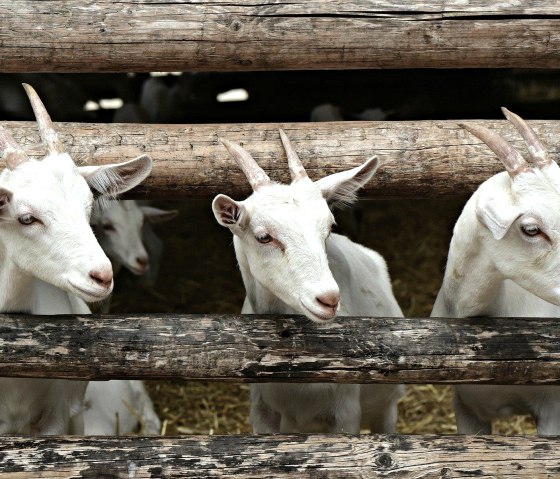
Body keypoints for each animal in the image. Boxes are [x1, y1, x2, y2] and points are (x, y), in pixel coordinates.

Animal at [213, 131, 402, 436]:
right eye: (264, 237)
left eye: (329, 226)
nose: (329, 299)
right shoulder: (262, 410)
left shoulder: (346, 413)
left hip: (387, 406)